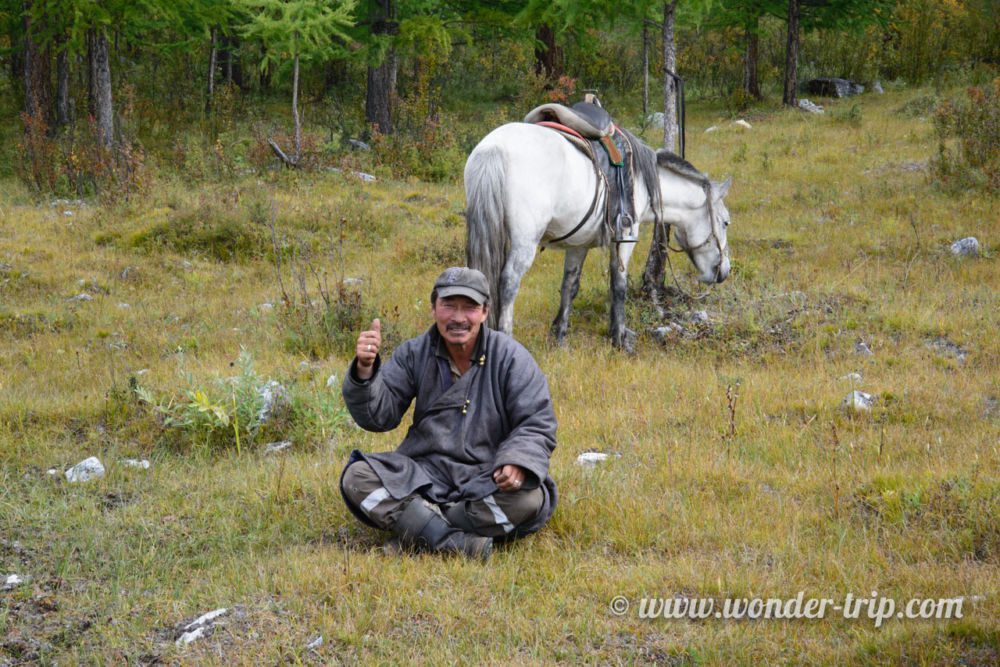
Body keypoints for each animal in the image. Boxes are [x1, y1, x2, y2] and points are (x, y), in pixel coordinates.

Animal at [464, 122, 732, 352]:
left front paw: (559, 337)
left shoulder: (577, 245)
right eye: (726, 222)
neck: (642, 181)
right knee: (509, 284)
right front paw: (619, 339)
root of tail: (494, 148)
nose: (724, 271)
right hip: (524, 244)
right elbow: (619, 286)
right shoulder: (625, 240)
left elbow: (569, 286)